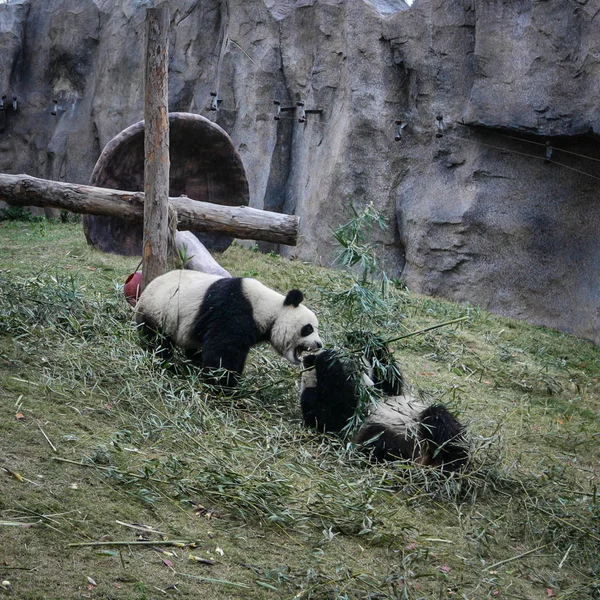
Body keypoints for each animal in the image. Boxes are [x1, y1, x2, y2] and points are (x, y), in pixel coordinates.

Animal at [135, 270, 324, 386]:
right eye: (308, 329)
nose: (319, 344)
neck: (270, 308)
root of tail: (142, 294)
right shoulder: (233, 310)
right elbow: (223, 351)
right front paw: (225, 384)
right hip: (159, 312)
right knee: (158, 343)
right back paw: (165, 364)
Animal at [300, 342, 468, 468]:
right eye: (355, 372)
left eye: (365, 368)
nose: (370, 386)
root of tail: (424, 460)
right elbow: (332, 415)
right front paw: (327, 359)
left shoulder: (384, 392)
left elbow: (390, 380)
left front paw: (364, 337)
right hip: (378, 435)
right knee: (381, 443)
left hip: (423, 422)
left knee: (440, 422)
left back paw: (455, 463)